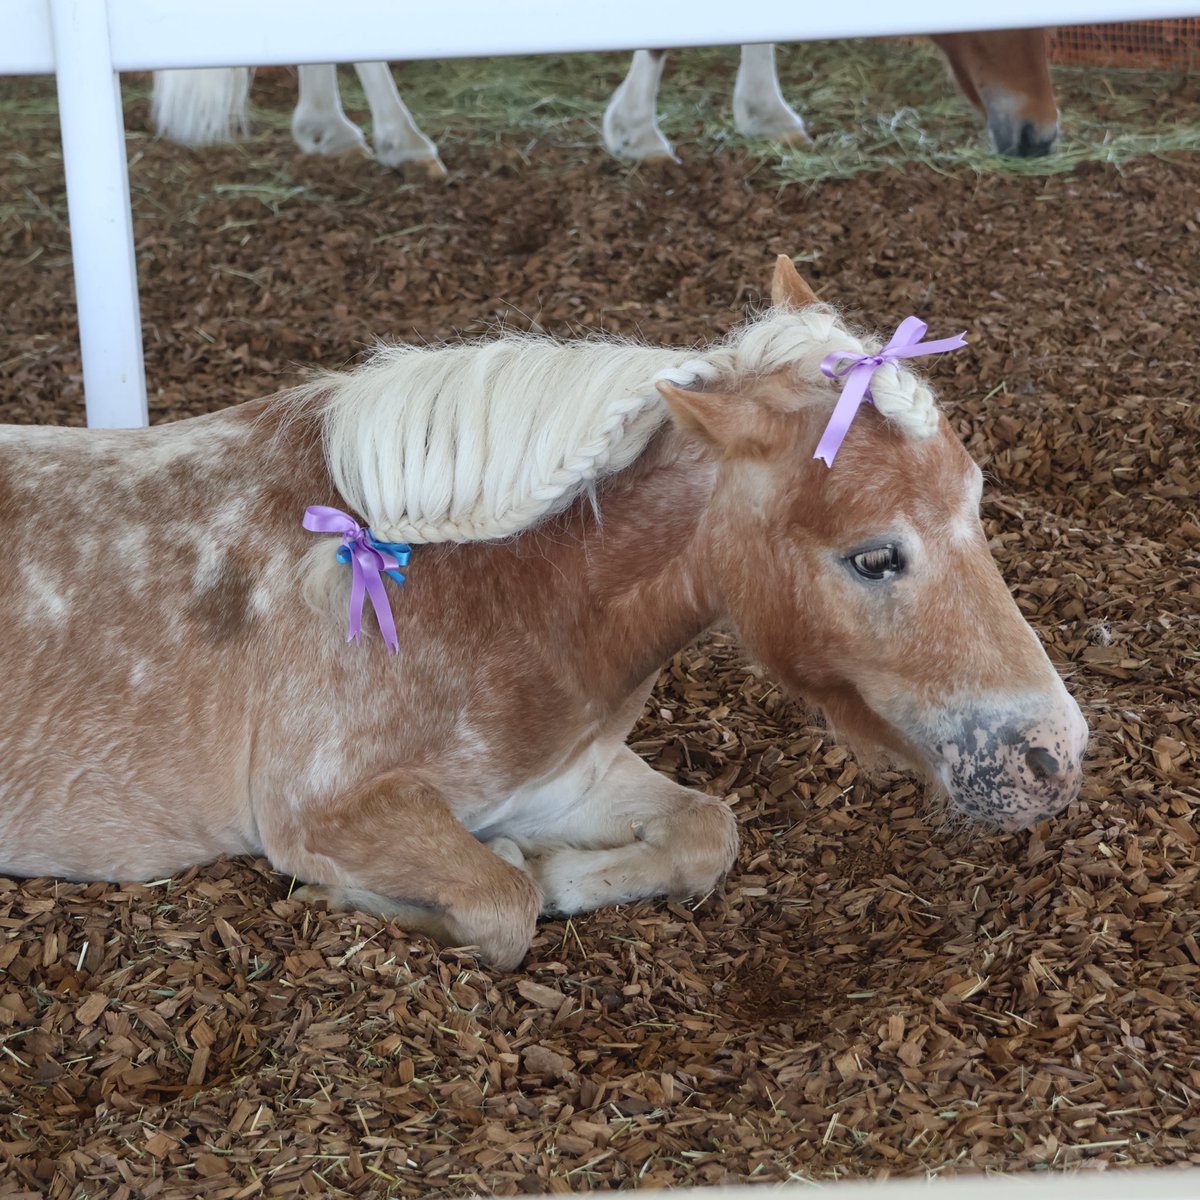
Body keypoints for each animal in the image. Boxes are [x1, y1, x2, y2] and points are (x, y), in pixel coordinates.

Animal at [0, 258, 1087, 970]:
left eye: (977, 503)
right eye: (874, 556)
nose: (1053, 756)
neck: (492, 588)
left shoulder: (562, 777)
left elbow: (704, 831)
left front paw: (566, 872)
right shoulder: (325, 809)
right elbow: (499, 902)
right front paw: (364, 895)